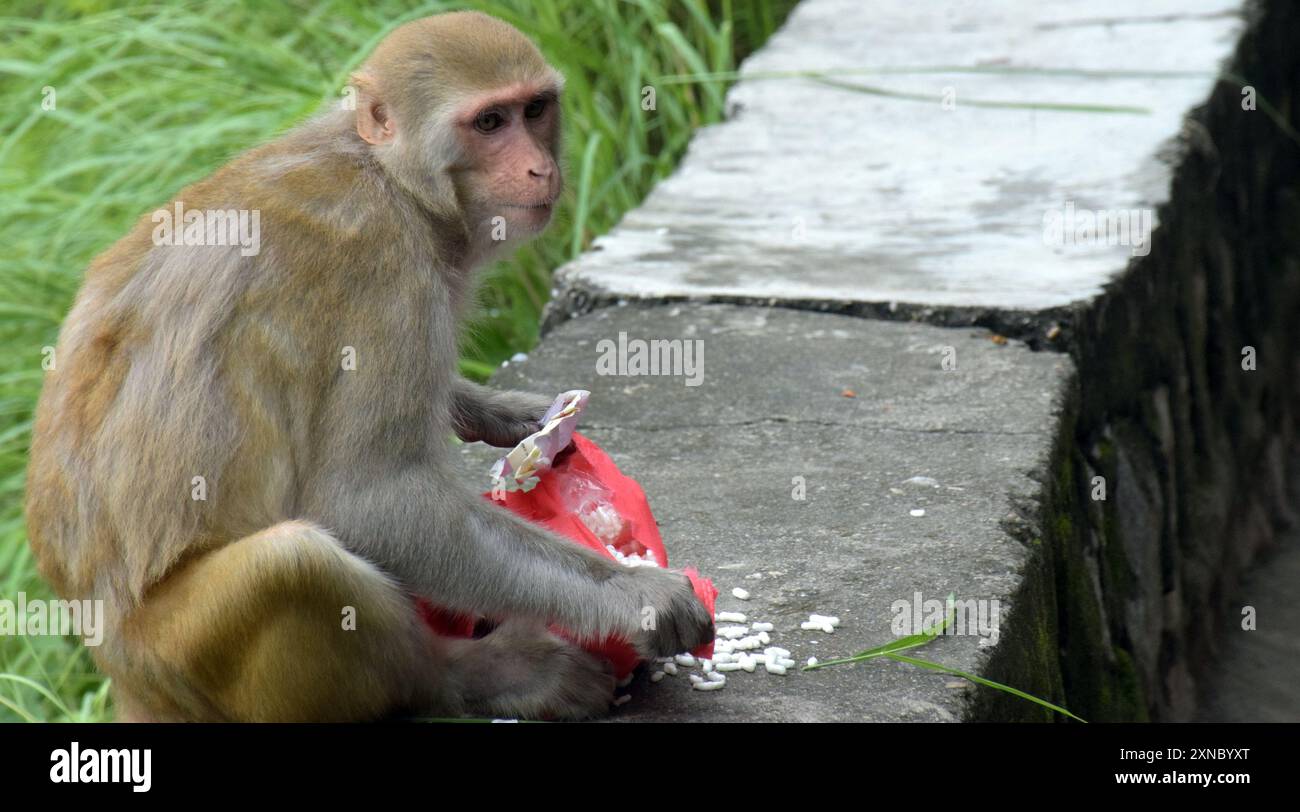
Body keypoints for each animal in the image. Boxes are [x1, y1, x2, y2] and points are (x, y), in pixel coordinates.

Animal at [23, 11, 713, 722]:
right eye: (490, 122)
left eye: (535, 109)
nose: (538, 167)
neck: (395, 180)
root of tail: (118, 668)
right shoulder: (388, 274)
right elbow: (370, 500)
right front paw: (635, 595)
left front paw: (510, 415)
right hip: (178, 655)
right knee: (293, 563)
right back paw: (477, 674)